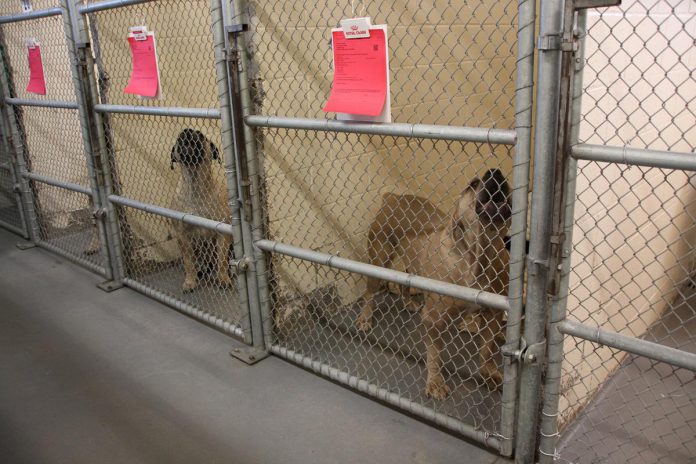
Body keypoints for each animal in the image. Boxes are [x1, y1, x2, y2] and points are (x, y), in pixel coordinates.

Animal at [171, 129, 234, 292]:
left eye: (200, 134)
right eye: (178, 137)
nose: (186, 131)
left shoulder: (222, 234)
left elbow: (222, 260)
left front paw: (223, 279)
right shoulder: (182, 235)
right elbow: (188, 261)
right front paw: (190, 281)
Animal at [354, 169, 512, 400]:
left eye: (507, 183)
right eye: (473, 184)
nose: (496, 173)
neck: (479, 256)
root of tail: (393, 197)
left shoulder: (493, 313)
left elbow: (487, 348)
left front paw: (489, 373)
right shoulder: (433, 320)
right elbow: (435, 354)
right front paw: (436, 382)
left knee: (404, 281)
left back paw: (408, 302)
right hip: (378, 259)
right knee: (369, 293)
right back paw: (365, 318)